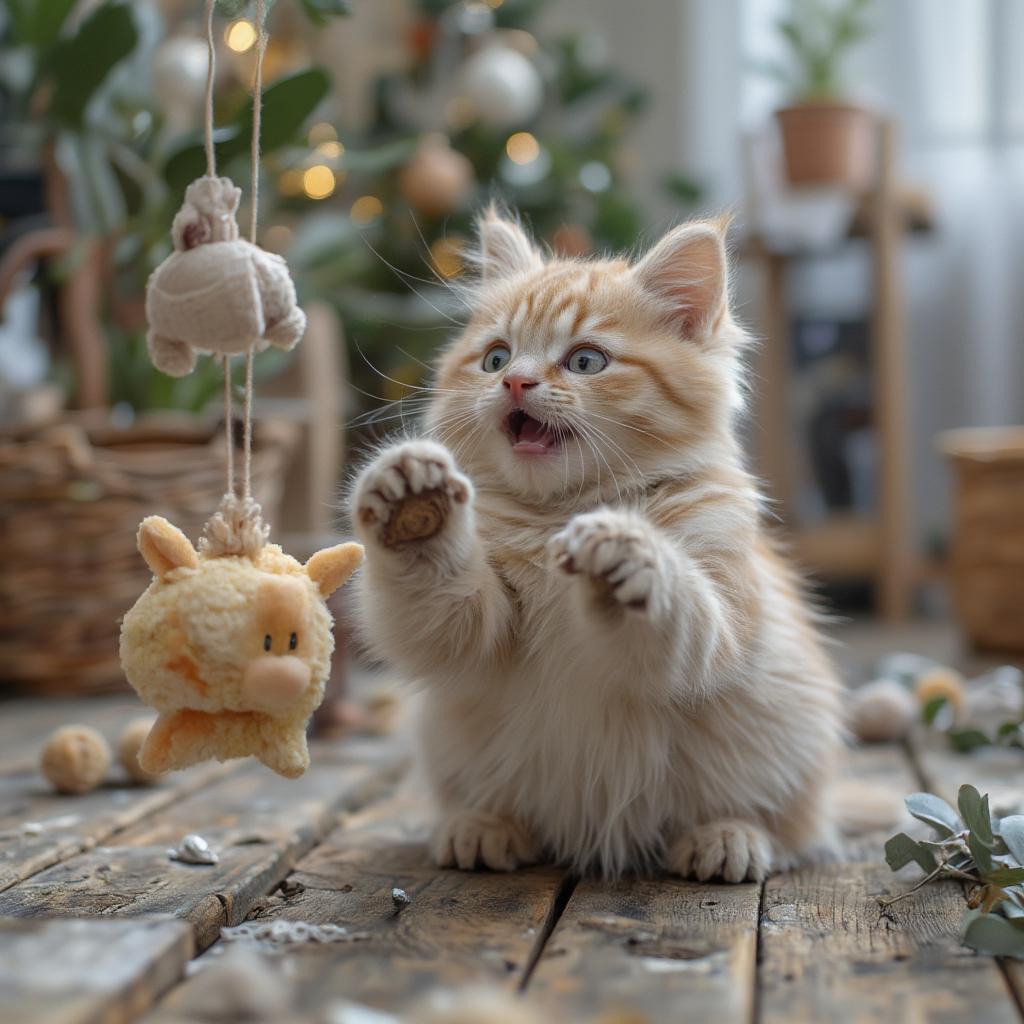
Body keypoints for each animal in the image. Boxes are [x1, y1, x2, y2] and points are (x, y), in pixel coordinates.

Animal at [348, 205, 843, 880]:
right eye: (495, 359)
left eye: (586, 362)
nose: (516, 384)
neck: (559, 515)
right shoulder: (470, 631)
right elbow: (439, 610)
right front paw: (413, 505)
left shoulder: (723, 615)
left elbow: (687, 618)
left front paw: (627, 554)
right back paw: (487, 824)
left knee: (786, 824)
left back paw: (727, 836)